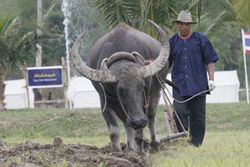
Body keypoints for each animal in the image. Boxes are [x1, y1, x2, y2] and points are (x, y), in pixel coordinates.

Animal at [70, 20, 170, 154]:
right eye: (120, 90)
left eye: (141, 86)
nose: (138, 120)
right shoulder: (105, 102)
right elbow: (114, 131)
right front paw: (117, 152)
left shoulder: (144, 102)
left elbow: (140, 131)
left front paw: (140, 153)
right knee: (126, 123)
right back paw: (130, 148)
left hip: (157, 90)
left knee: (151, 117)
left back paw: (154, 144)